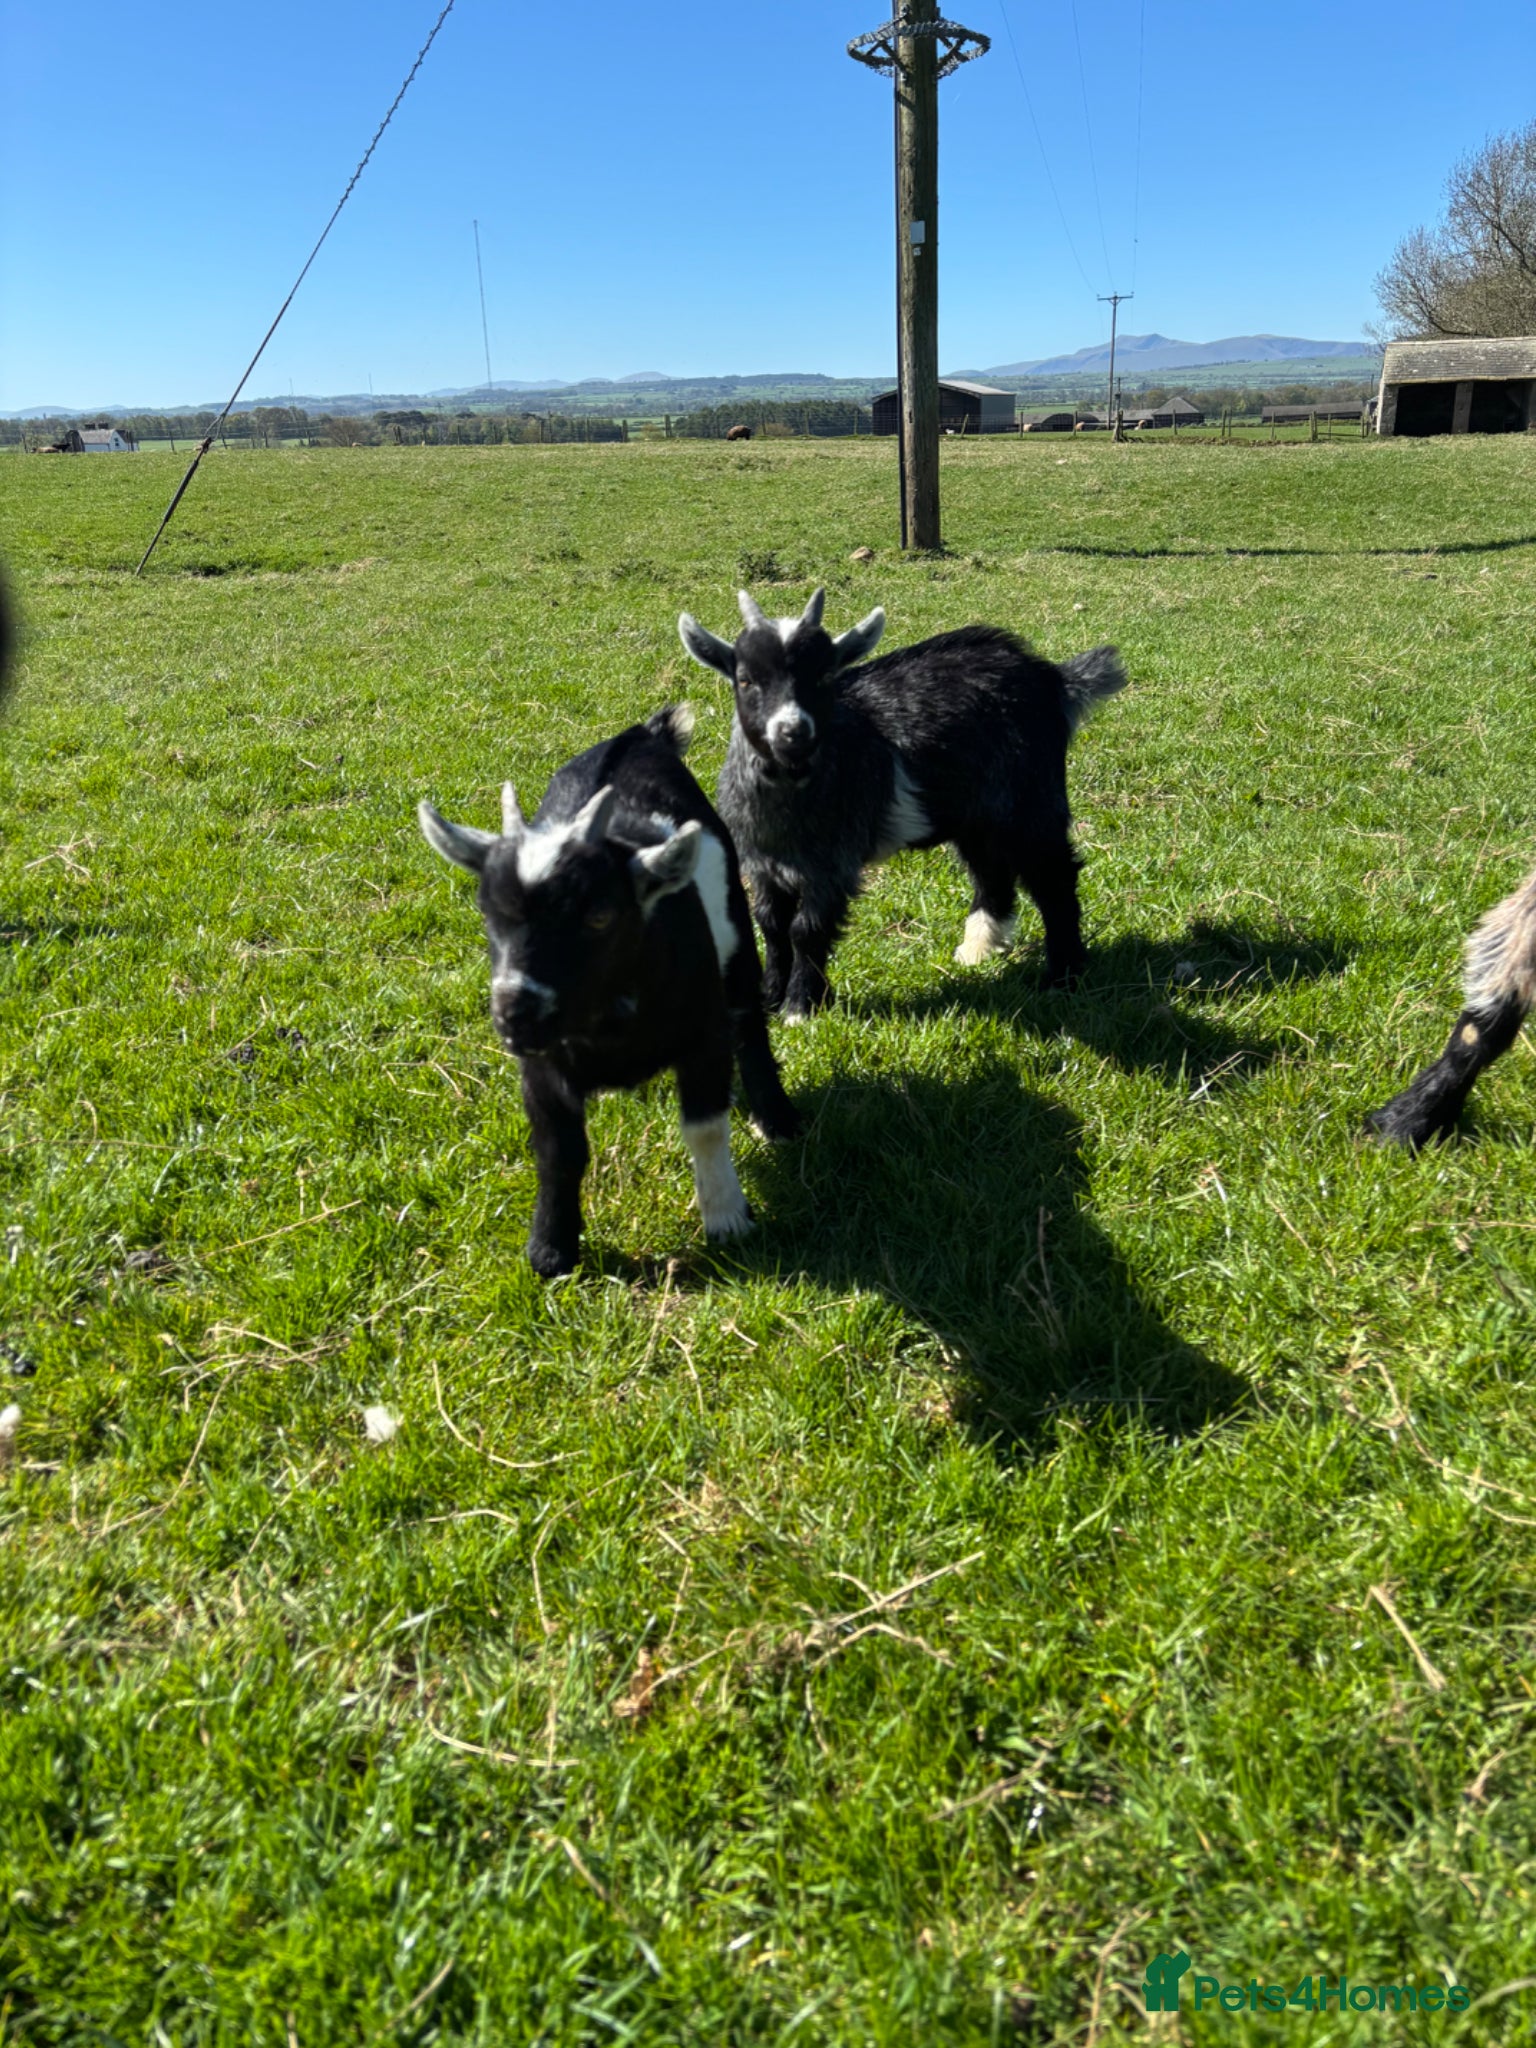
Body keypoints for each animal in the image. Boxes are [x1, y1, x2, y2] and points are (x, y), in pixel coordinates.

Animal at [418, 706, 798, 1276]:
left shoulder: (704, 1036)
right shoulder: (542, 1066)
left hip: (735, 930)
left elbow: (705, 1127)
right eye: (488, 913)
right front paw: (551, 1250)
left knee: (749, 1019)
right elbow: (558, 1148)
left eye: (599, 915)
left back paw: (776, 1118)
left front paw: (728, 1218)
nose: (516, 1013)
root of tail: (641, 736)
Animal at [677, 588, 1126, 1018]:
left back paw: (1062, 976)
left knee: (1054, 878)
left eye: (824, 675)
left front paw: (801, 1007)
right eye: (746, 680)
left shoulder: (832, 866)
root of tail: (1051, 677)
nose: (793, 732)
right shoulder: (762, 865)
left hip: (1030, 801)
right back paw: (978, 949)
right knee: (991, 872)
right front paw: (771, 997)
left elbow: (806, 930)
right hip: (976, 814)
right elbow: (770, 926)